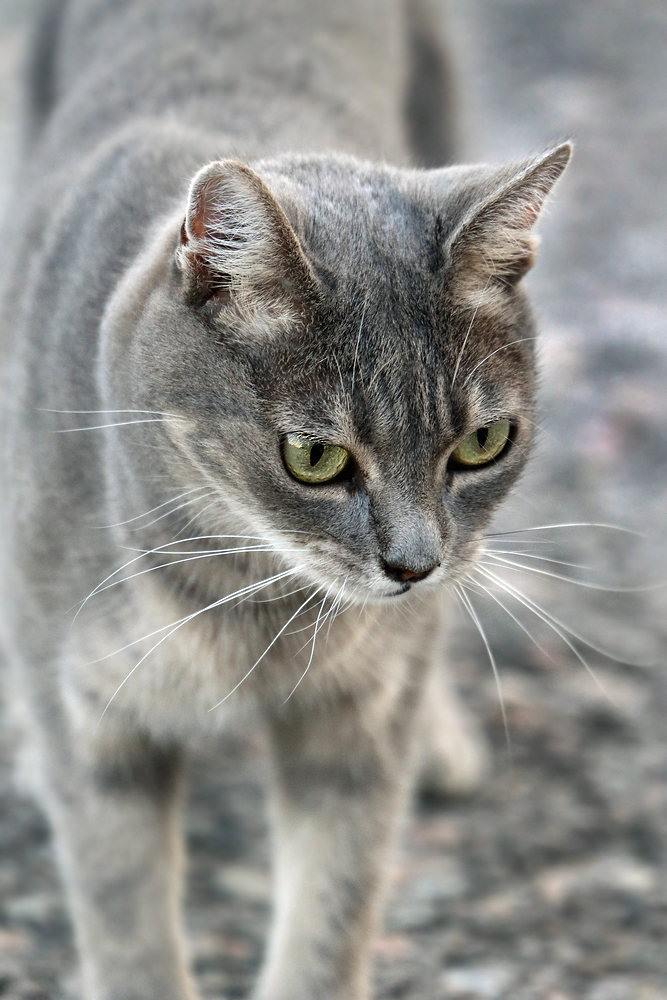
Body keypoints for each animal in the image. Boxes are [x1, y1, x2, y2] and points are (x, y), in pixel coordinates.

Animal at [1, 1, 568, 1000]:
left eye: (480, 444)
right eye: (313, 457)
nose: (413, 566)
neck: (245, 603)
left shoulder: (358, 731)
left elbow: (333, 911)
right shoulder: (94, 729)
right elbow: (126, 922)